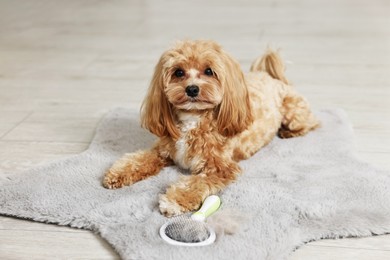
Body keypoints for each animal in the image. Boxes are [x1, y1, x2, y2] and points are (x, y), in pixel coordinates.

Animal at [103, 39, 320, 216]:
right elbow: (139, 159)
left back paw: (288, 132)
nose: (192, 89)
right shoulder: (162, 151)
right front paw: (118, 174)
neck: (194, 118)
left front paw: (173, 200)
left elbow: (196, 183)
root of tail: (272, 77)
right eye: (178, 72)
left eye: (209, 71)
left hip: (293, 112)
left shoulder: (220, 168)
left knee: (311, 123)